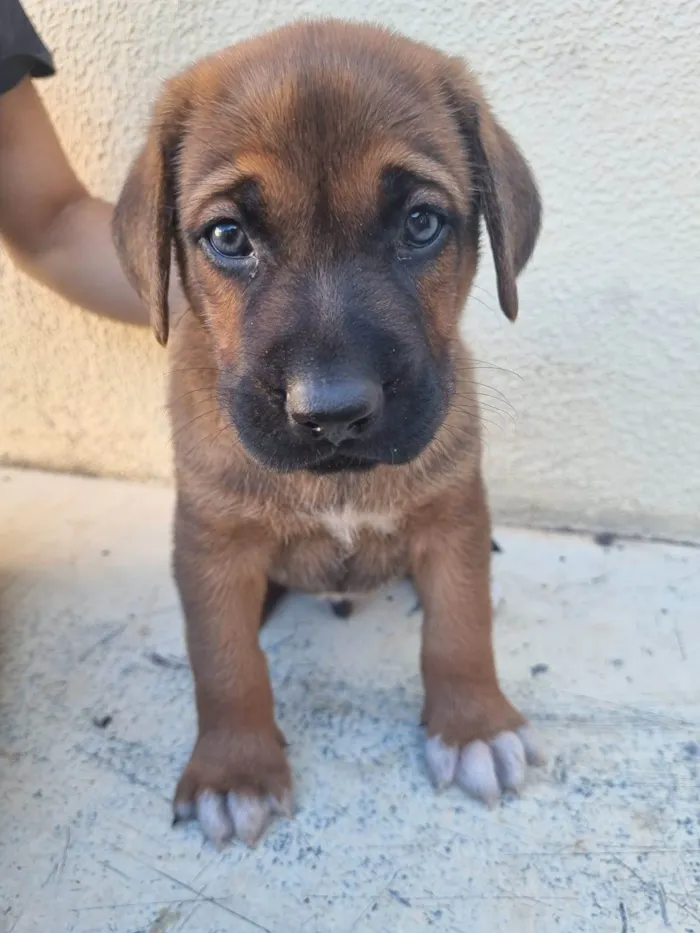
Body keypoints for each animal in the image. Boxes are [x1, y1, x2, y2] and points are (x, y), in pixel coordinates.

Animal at [112, 18, 544, 848]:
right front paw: (235, 768)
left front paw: (474, 724)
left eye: (420, 223)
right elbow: (226, 659)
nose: (335, 410)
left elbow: (461, 625)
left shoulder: (453, 517)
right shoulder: (213, 544)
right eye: (228, 236)